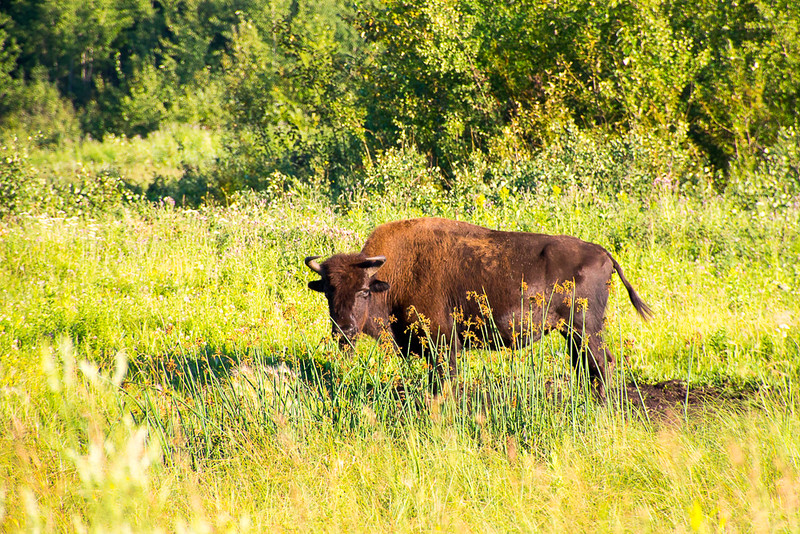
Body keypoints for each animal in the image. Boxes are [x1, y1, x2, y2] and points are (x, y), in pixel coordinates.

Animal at [304, 218, 652, 398]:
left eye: (364, 291)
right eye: (328, 292)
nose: (344, 331)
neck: (393, 273)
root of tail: (603, 253)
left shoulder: (443, 342)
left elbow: (444, 378)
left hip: (586, 329)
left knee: (601, 362)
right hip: (573, 333)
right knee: (586, 364)